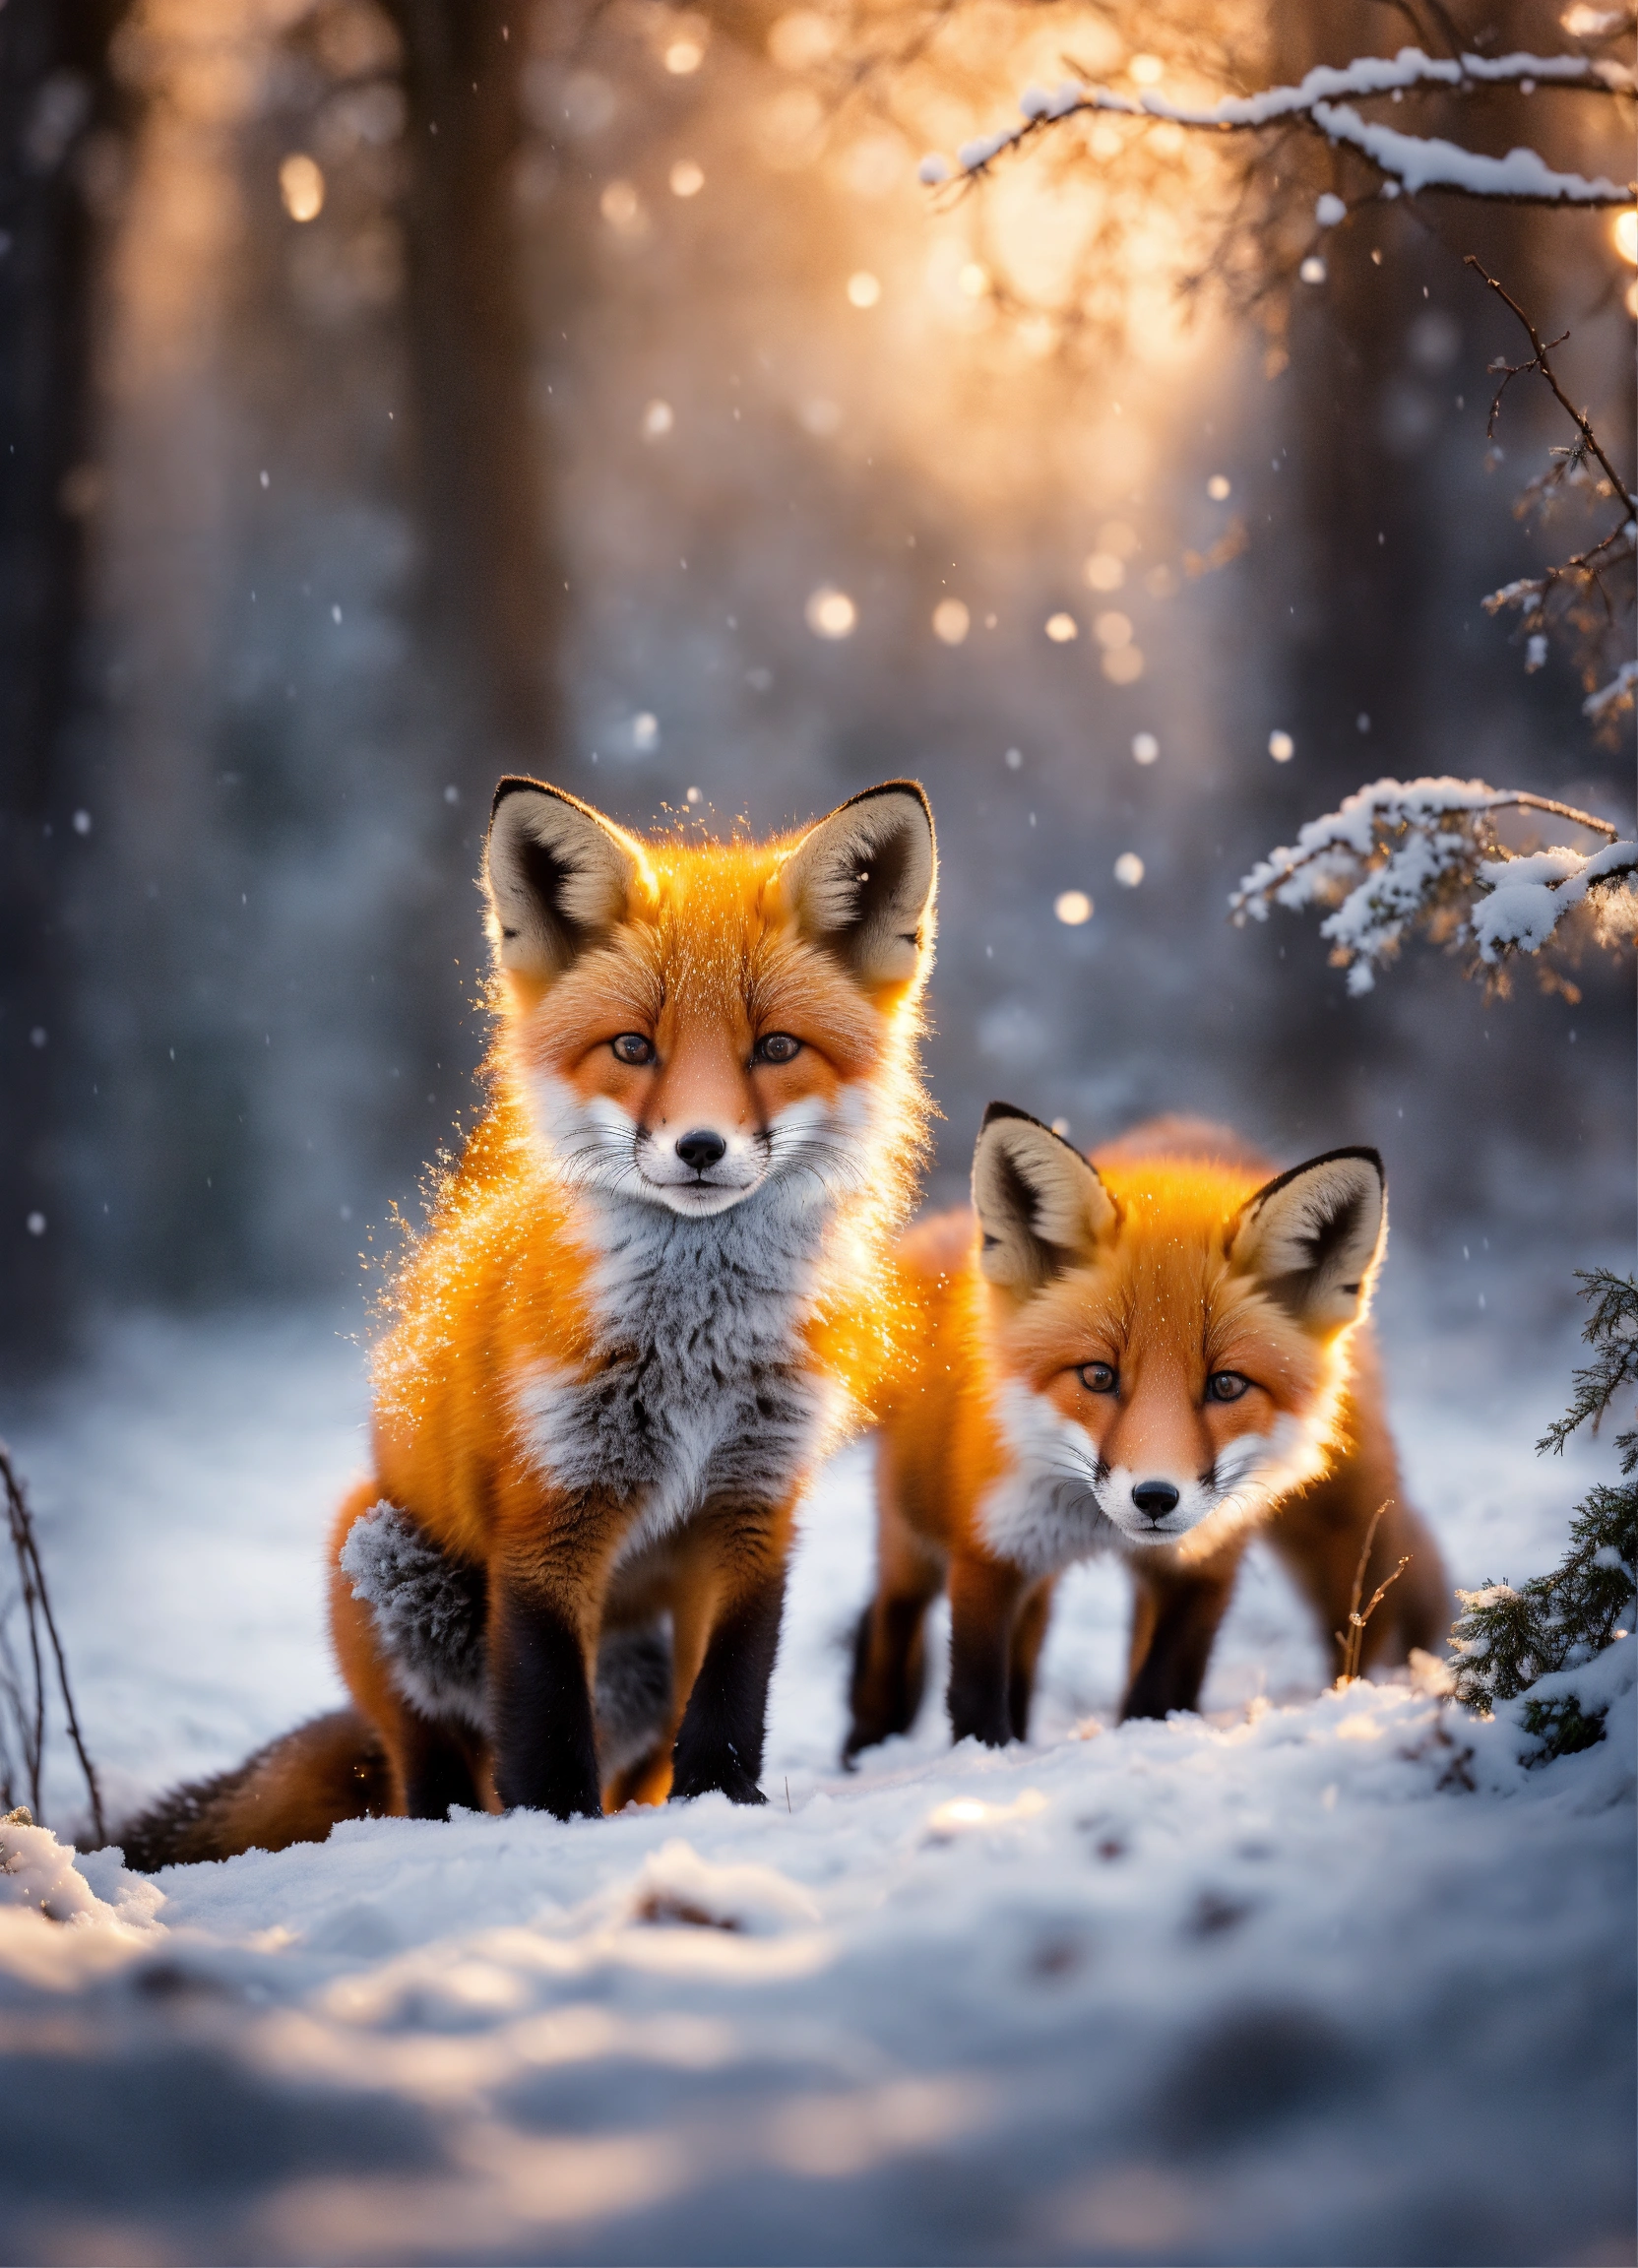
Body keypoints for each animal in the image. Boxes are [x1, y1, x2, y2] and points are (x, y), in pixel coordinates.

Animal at [123, 776, 938, 1864]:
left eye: (775, 1048)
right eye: (633, 1046)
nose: (700, 1148)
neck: (694, 1353)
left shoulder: (753, 1504)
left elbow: (730, 1693)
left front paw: (721, 1808)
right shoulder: (549, 1514)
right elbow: (545, 1717)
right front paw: (557, 1829)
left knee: (630, 1761)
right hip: (382, 1558)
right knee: (431, 1769)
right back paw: (446, 1823)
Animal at [844, 1106, 1449, 1757]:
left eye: (1226, 1385)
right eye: (1098, 1375)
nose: (1156, 1498)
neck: (1094, 1526)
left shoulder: (1204, 1565)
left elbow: (1162, 1689)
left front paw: (1143, 1737)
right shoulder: (989, 1552)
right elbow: (976, 1696)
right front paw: (986, 1760)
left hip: (1342, 1533)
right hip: (917, 1528)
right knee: (888, 1623)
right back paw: (864, 1748)